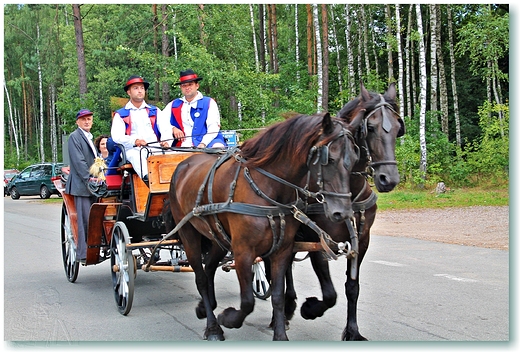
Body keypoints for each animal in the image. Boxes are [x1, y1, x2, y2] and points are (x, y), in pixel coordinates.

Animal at [169, 110, 364, 340]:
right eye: (330, 159)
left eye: (354, 159)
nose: (343, 212)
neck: (265, 187)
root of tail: (183, 165)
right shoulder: (243, 251)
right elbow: (247, 302)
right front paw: (229, 318)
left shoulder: (282, 250)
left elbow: (278, 295)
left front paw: (280, 334)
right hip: (188, 234)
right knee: (200, 277)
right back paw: (213, 326)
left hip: (218, 237)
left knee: (208, 269)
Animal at [278, 81, 404, 340]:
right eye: (371, 127)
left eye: (398, 128)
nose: (389, 179)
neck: (349, 190)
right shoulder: (317, 238)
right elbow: (329, 293)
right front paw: (310, 309)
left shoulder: (361, 240)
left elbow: (352, 287)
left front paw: (353, 331)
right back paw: (288, 307)